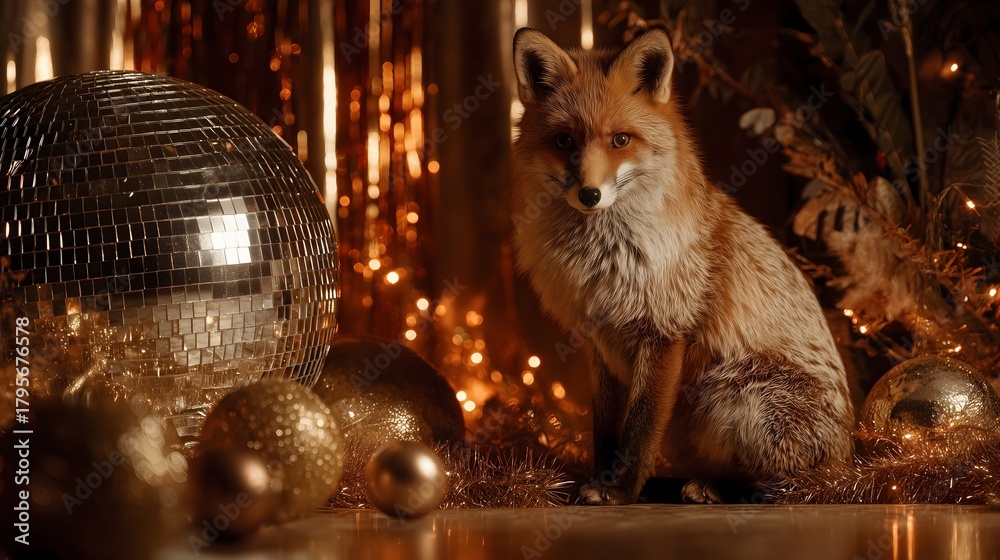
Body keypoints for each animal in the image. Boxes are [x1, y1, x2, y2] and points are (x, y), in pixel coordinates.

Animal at [510, 27, 855, 504]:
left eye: (620, 140)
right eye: (564, 141)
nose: (589, 195)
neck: (602, 256)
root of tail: (849, 461)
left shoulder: (664, 331)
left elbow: (640, 429)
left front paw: (621, 493)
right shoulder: (599, 340)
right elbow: (606, 430)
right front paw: (603, 480)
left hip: (735, 398)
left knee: (787, 487)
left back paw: (712, 489)